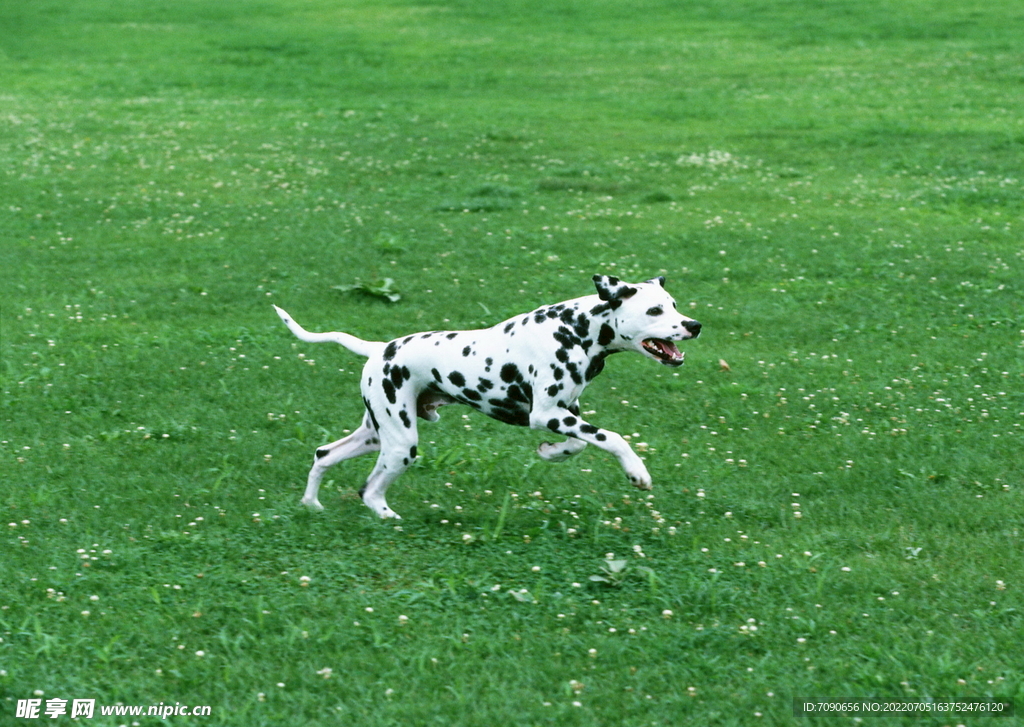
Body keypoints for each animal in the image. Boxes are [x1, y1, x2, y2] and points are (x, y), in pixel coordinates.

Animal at [276, 274, 700, 518]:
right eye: (655, 310)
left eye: (674, 305)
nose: (694, 325)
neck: (575, 329)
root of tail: (380, 349)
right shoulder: (546, 414)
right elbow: (612, 438)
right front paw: (636, 472)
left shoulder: (566, 411)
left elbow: (578, 444)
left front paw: (551, 453)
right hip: (400, 444)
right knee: (369, 490)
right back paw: (387, 517)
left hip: (376, 434)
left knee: (324, 454)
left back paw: (311, 505)